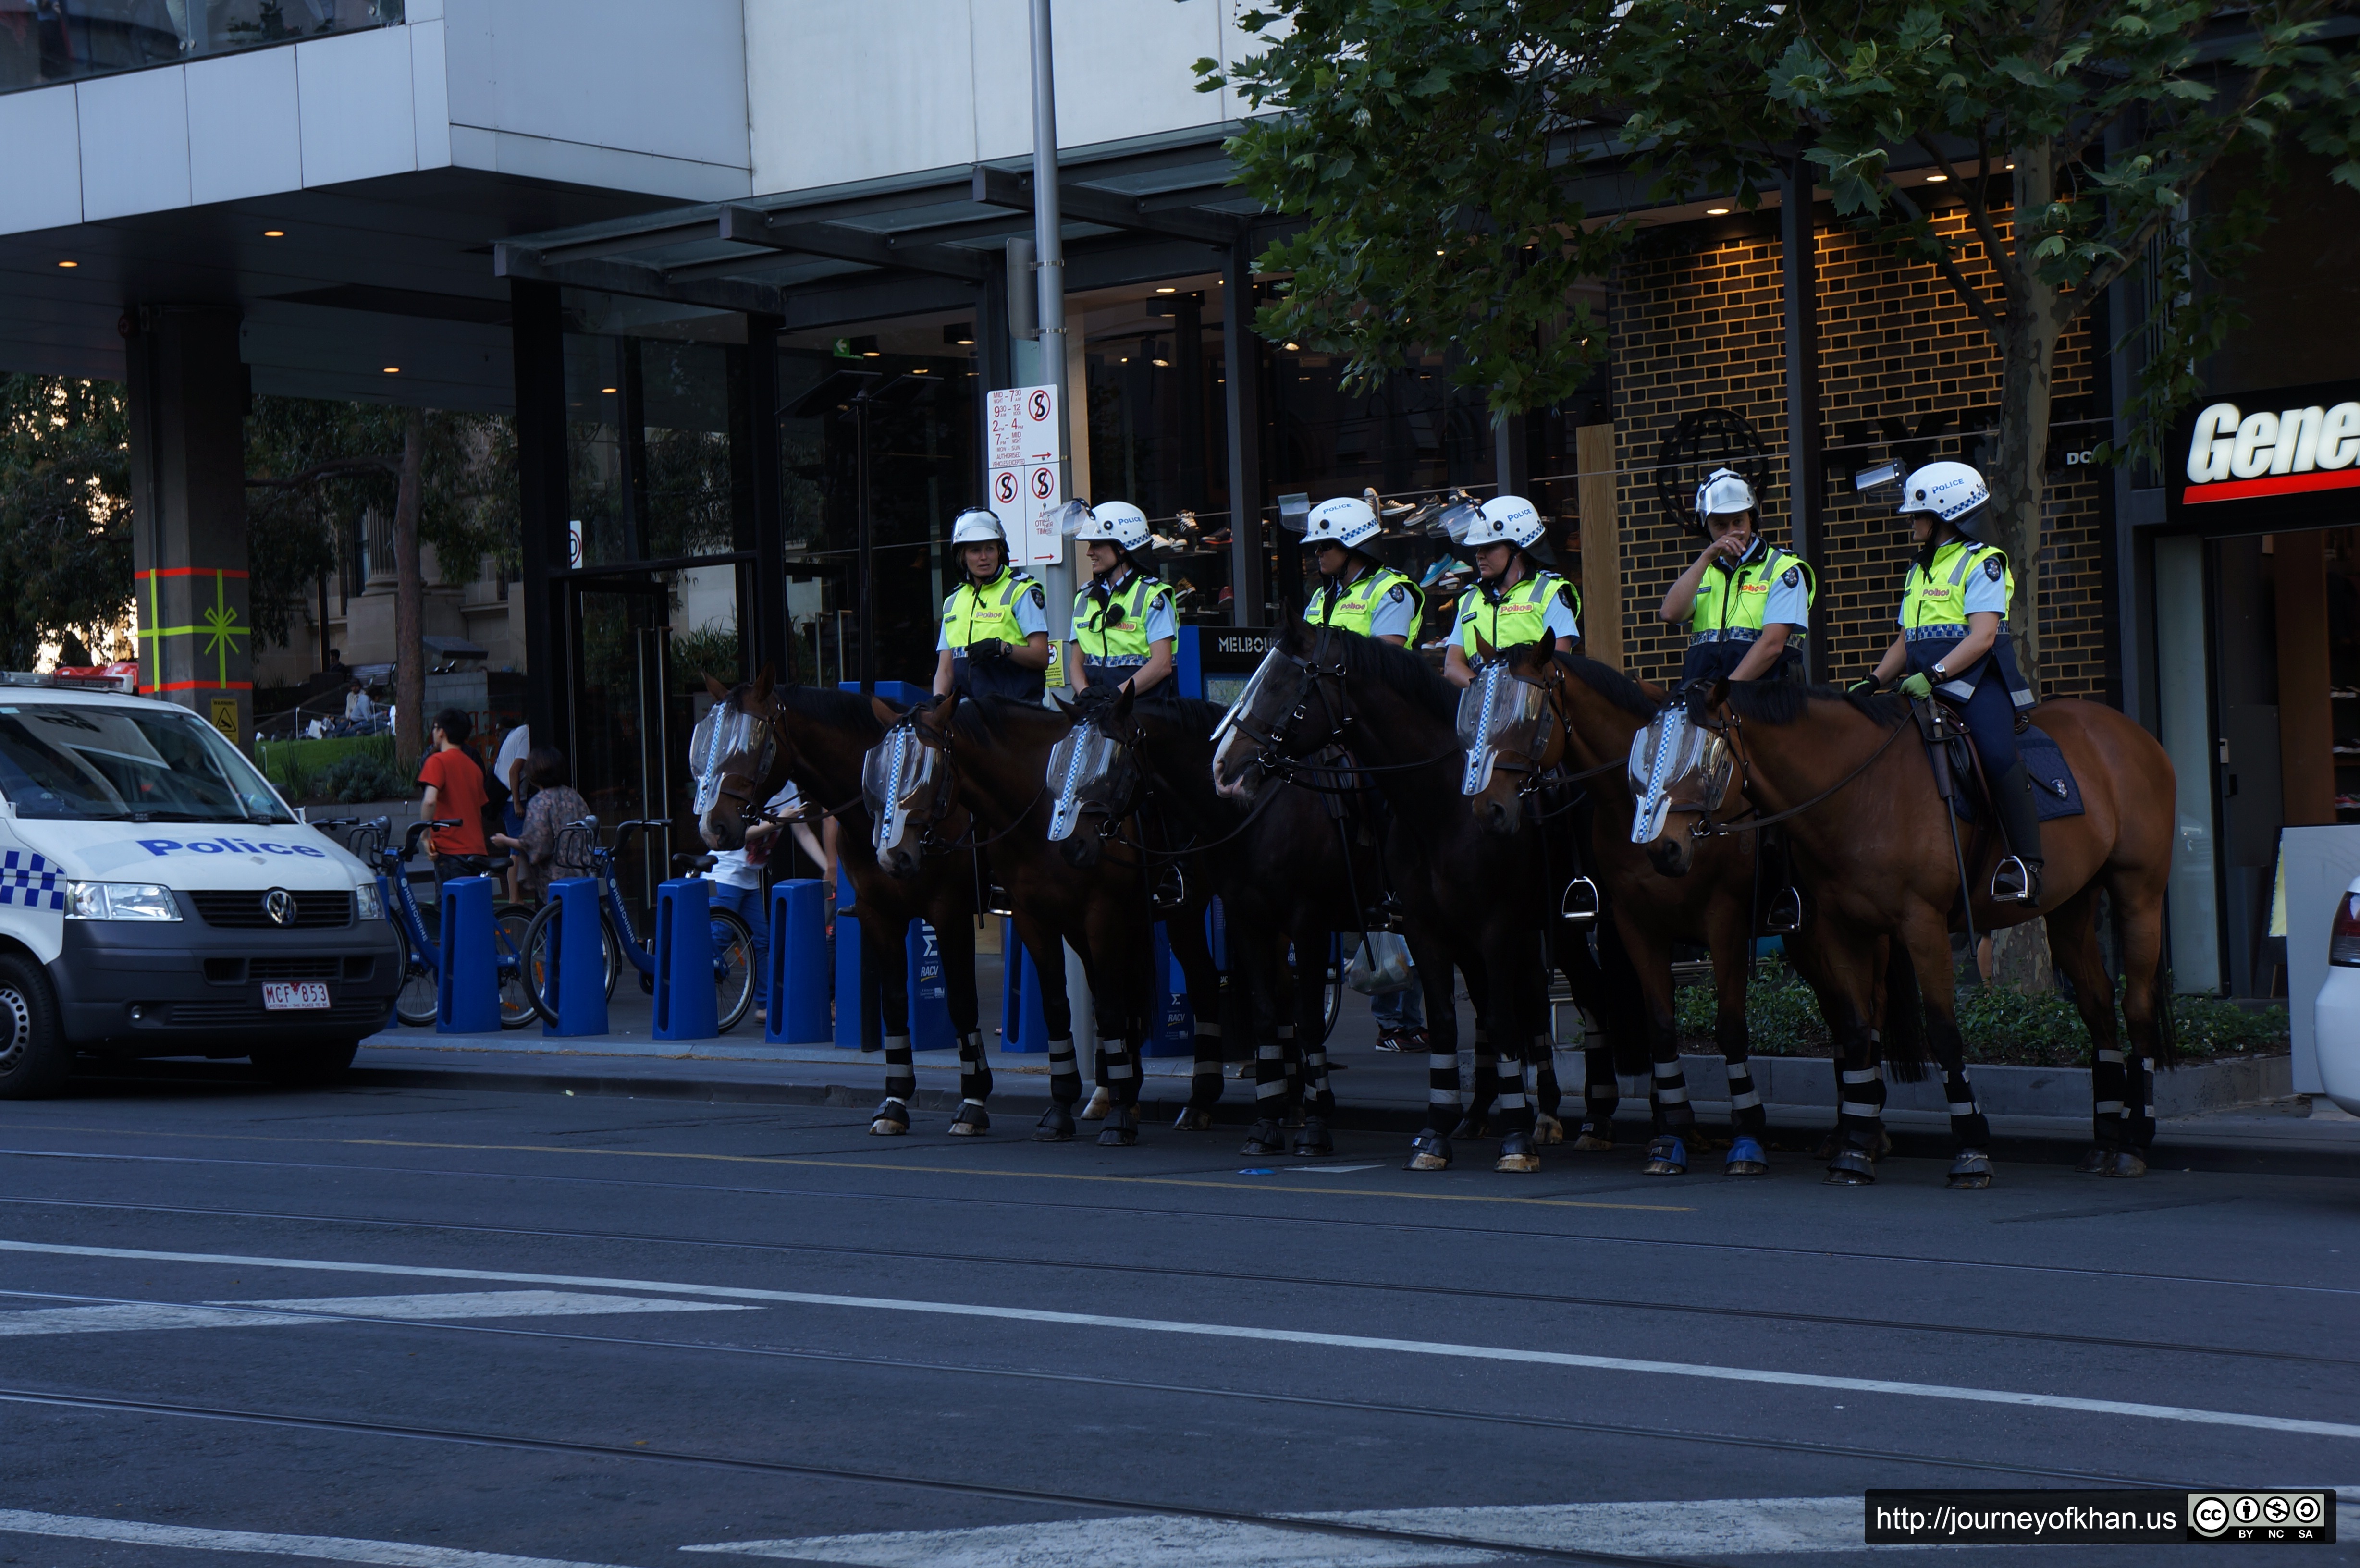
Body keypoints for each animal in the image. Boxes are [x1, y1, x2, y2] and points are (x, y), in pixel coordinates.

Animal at [694, 675, 1000, 1138]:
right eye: (707, 741)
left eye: (749, 743)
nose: (713, 827)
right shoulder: (879, 916)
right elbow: (894, 1003)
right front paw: (894, 1102)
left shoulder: (951, 913)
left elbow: (963, 1002)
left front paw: (974, 1100)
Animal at [1217, 618, 1567, 1171]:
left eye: (1280, 685)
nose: (1223, 770)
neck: (1445, 804)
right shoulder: (1422, 927)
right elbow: (1444, 1022)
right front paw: (1436, 1132)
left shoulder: (1493, 924)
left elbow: (1501, 1019)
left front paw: (1515, 1138)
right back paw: (1480, 1114)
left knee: (1528, 1001)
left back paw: (1547, 1114)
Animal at [1680, 680, 2171, 1180]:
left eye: (1707, 757)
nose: (1669, 848)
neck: (1862, 790)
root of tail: (2134, 733)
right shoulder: (1840, 929)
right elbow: (1855, 1029)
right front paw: (1855, 1149)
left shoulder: (1922, 923)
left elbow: (1942, 1030)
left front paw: (1971, 1149)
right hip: (2071, 905)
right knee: (2097, 1001)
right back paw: (2105, 1143)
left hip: (2139, 892)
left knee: (2136, 1004)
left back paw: (2133, 1142)